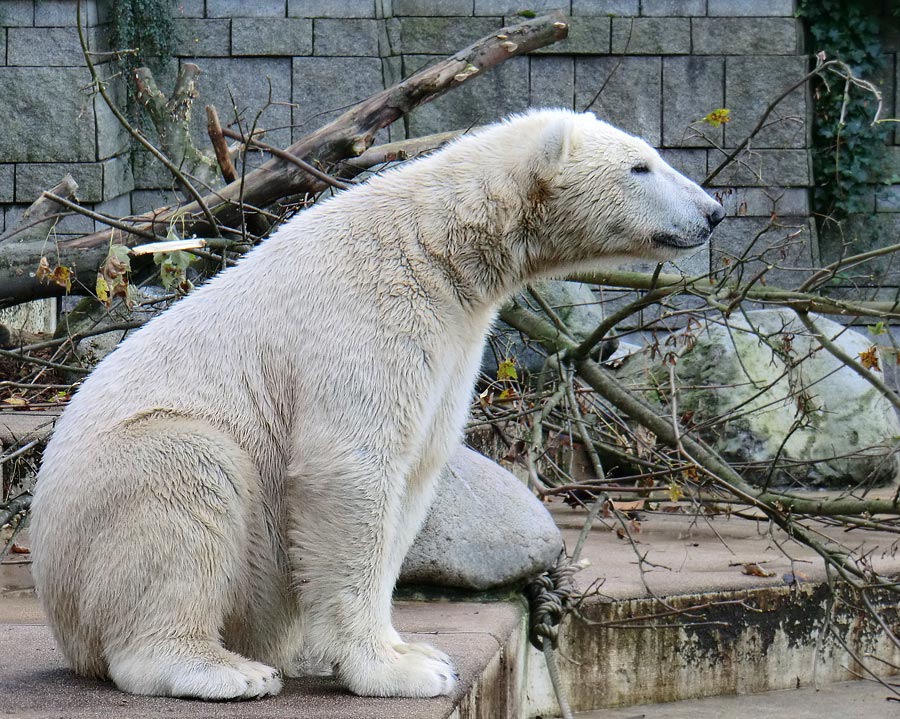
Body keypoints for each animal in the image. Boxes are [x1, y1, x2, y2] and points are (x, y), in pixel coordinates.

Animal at [29, 109, 724, 700]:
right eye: (641, 166)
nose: (713, 211)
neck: (436, 243)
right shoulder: (366, 318)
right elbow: (350, 468)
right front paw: (396, 671)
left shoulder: (453, 339)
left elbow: (415, 476)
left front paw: (415, 651)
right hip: (115, 492)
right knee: (185, 480)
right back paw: (222, 669)